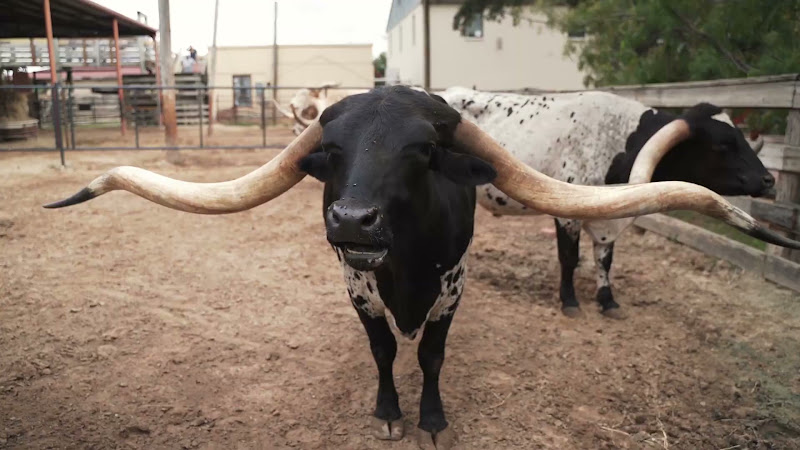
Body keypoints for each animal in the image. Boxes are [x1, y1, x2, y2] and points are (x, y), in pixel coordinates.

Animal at [442, 87, 772, 319]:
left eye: (741, 137)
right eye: (722, 145)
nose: (768, 180)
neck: (618, 139)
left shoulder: (609, 212)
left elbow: (604, 260)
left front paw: (607, 300)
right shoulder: (569, 215)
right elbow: (570, 258)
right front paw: (570, 301)